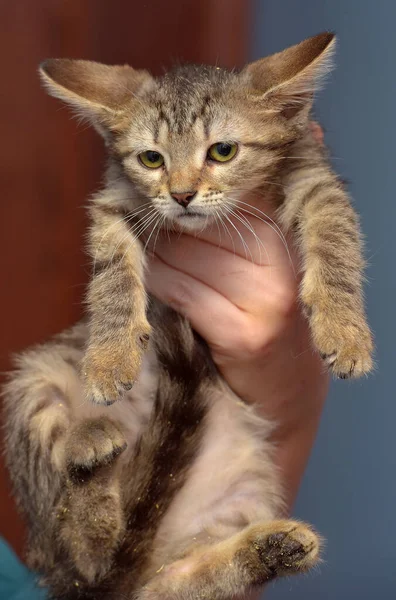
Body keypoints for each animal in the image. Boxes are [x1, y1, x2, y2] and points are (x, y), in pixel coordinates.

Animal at [4, 32, 372, 600]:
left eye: (223, 150)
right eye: (152, 158)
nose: (180, 194)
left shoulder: (313, 174)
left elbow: (336, 237)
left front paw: (344, 329)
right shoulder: (114, 200)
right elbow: (111, 271)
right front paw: (109, 356)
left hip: (236, 502)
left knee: (163, 586)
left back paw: (272, 548)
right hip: (33, 395)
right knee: (86, 557)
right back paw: (89, 471)